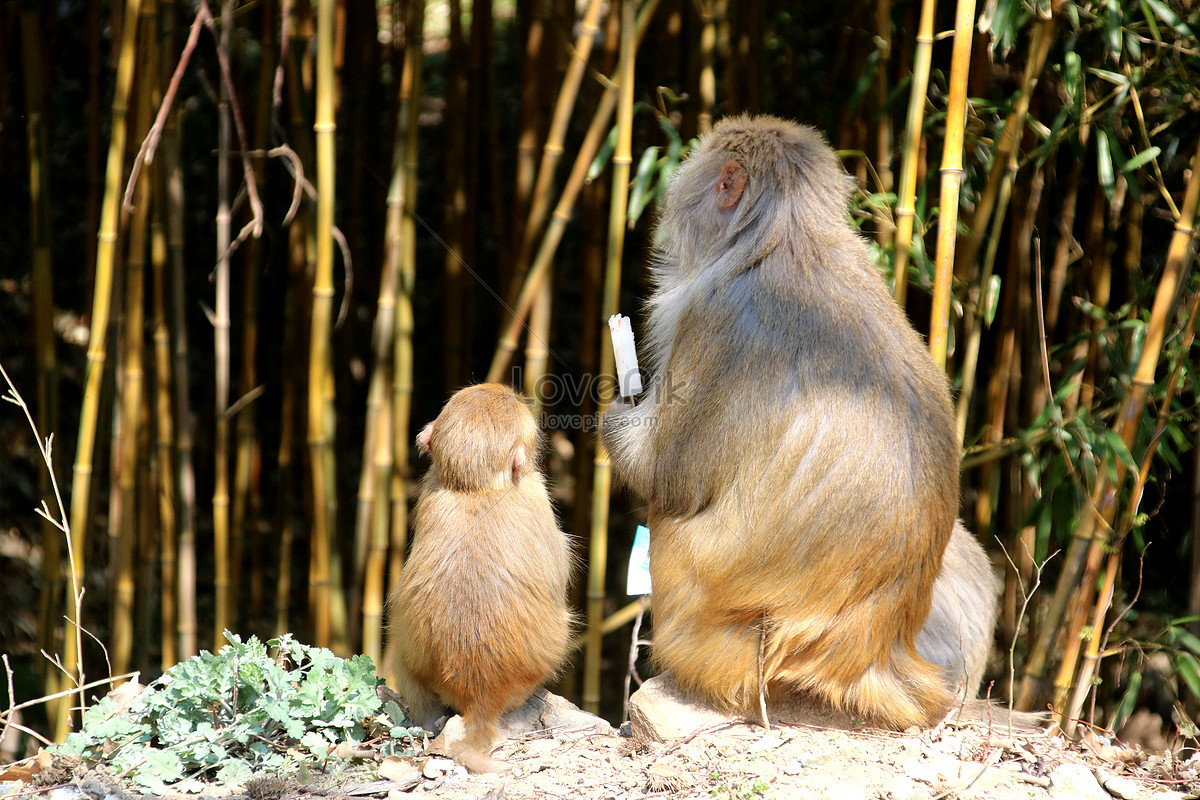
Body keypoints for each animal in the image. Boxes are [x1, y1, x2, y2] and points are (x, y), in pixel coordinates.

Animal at [604, 113, 998, 734]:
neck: (783, 234)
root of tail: (872, 657)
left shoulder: (714, 317)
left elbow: (666, 477)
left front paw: (618, 416)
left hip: (716, 641)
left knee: (669, 523)